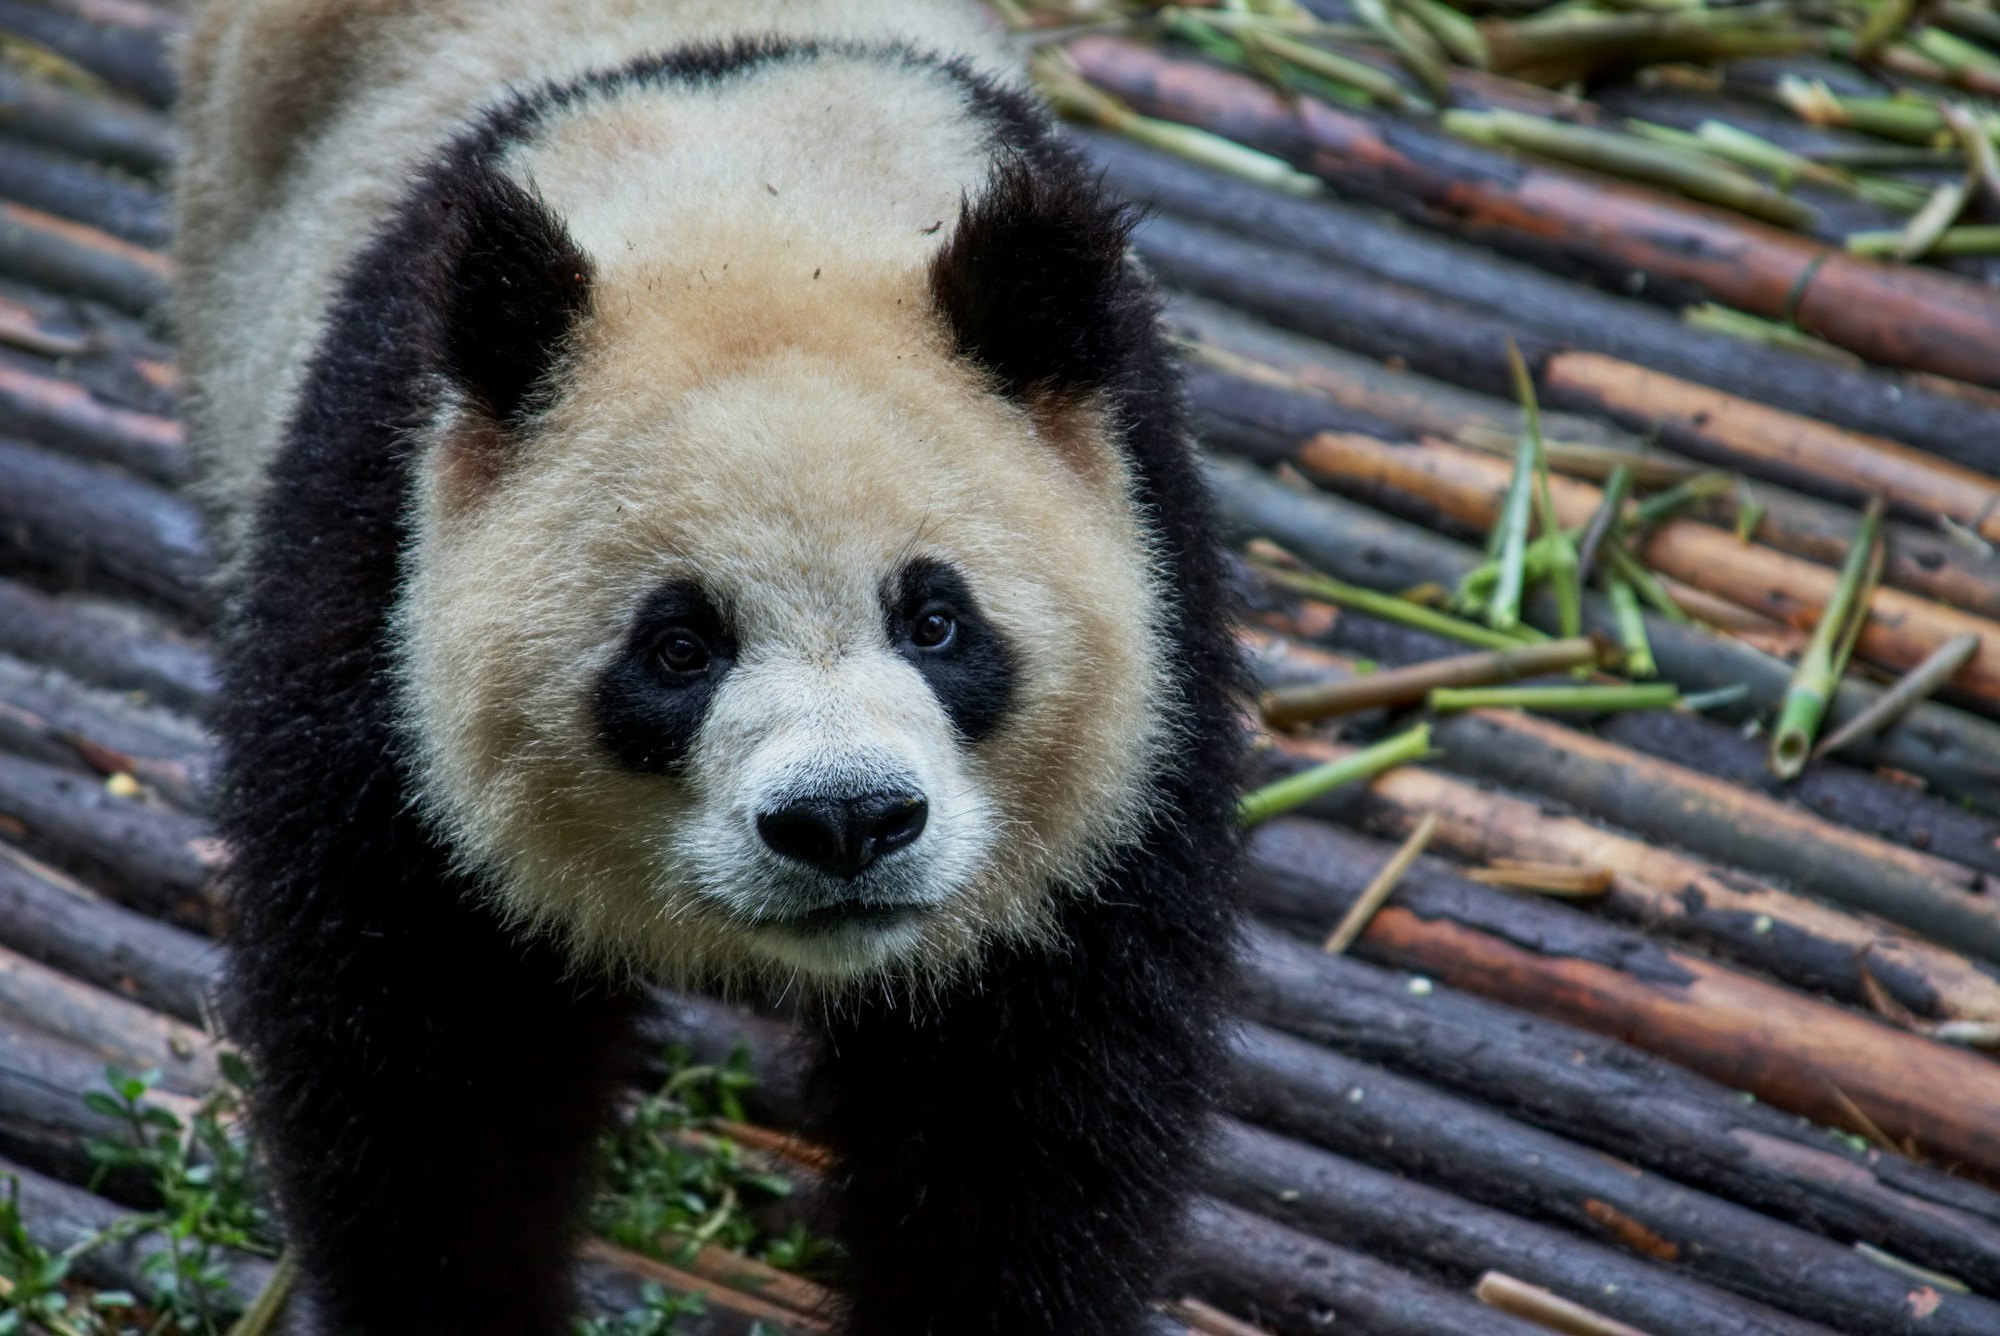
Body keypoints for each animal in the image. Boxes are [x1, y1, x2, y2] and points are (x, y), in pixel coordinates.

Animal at [174, 3, 1244, 1333]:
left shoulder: (1143, 606)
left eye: (935, 623)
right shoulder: (374, 580)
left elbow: (1030, 1102)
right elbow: (423, 1060)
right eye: (679, 648)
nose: (845, 821)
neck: (750, 205)